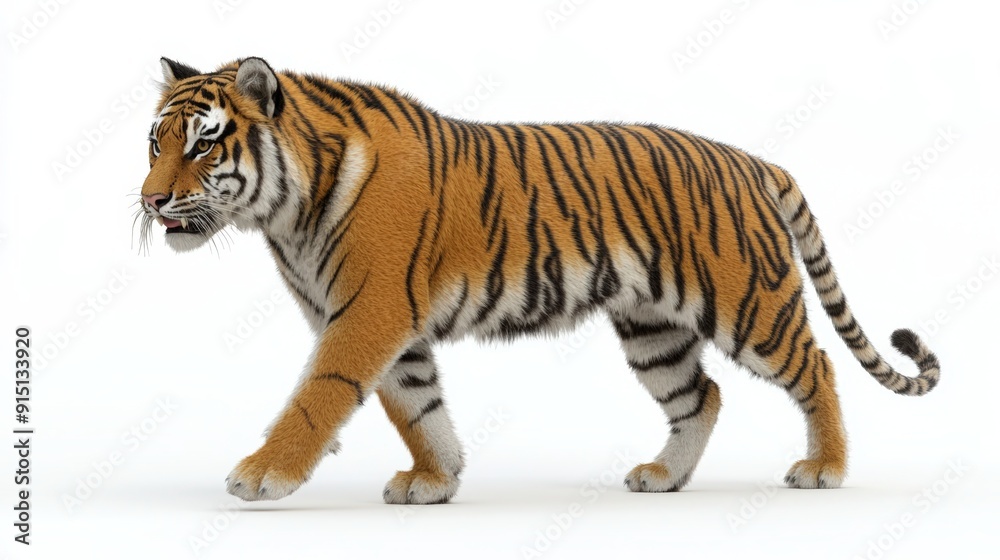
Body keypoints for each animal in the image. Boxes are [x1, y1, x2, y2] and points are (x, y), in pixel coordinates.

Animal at [137, 57, 940, 504]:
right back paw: (664, 477)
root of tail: (753, 160)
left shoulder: (367, 314)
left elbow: (317, 397)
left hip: (750, 304)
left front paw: (261, 475)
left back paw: (824, 468)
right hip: (653, 328)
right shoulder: (384, 323)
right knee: (702, 395)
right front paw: (438, 480)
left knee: (818, 367)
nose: (149, 201)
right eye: (154, 142)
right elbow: (415, 406)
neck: (286, 211)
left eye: (203, 145)